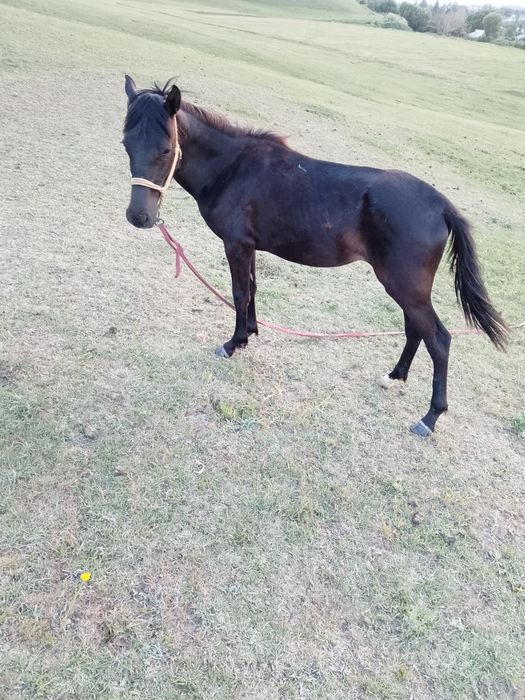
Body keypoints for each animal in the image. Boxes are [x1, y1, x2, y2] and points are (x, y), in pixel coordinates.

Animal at [122, 76, 507, 437]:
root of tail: (441, 205)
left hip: (405, 286)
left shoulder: (236, 244)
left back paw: (429, 418)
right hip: (405, 287)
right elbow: (253, 289)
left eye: (166, 148)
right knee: (415, 329)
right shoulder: (250, 246)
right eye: (125, 144)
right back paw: (394, 376)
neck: (233, 169)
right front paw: (250, 334)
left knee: (438, 340)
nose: (139, 217)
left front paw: (232, 343)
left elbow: (239, 293)